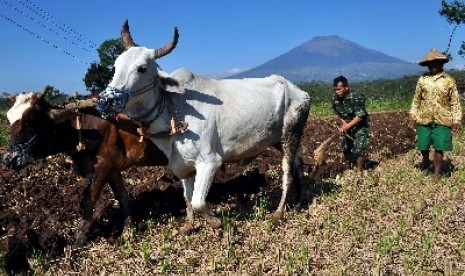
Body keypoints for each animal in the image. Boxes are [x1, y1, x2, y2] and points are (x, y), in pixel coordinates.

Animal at [2, 91, 169, 244]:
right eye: (8, 119)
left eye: (31, 119)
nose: (9, 158)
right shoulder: (113, 170)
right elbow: (122, 196)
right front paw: (128, 230)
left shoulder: (103, 167)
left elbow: (89, 199)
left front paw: (80, 238)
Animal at [96, 20, 310, 234]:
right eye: (116, 65)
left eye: (141, 68)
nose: (106, 101)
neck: (175, 108)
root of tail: (300, 91)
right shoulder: (182, 166)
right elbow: (188, 198)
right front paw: (188, 226)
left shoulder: (210, 162)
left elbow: (198, 202)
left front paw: (216, 222)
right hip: (279, 140)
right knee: (298, 162)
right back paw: (299, 201)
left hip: (291, 134)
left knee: (287, 171)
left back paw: (279, 212)